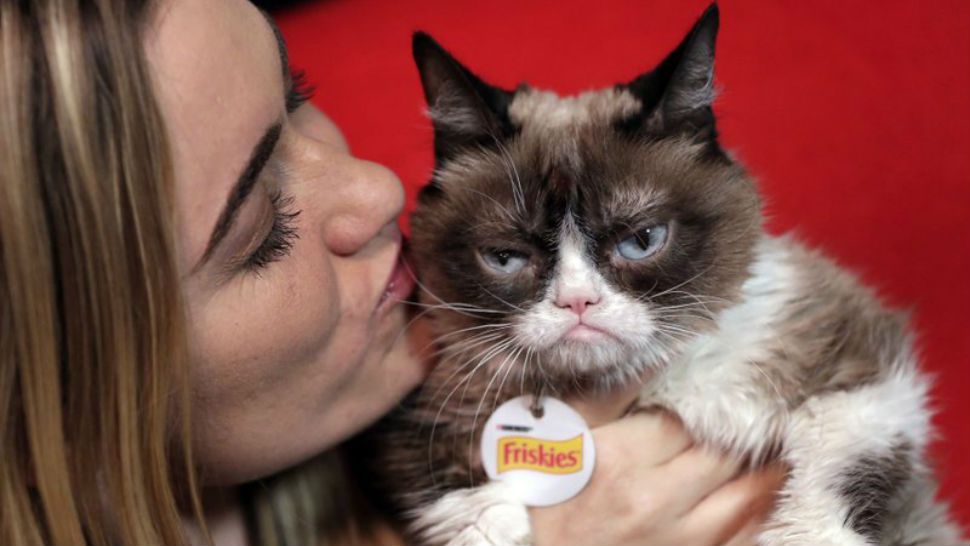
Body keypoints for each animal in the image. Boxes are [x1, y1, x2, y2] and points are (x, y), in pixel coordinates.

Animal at [362, 4, 960, 544]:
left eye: (642, 241)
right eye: (506, 258)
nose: (577, 302)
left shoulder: (860, 366)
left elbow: (837, 459)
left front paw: (805, 532)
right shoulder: (421, 406)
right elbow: (459, 498)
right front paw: (495, 521)